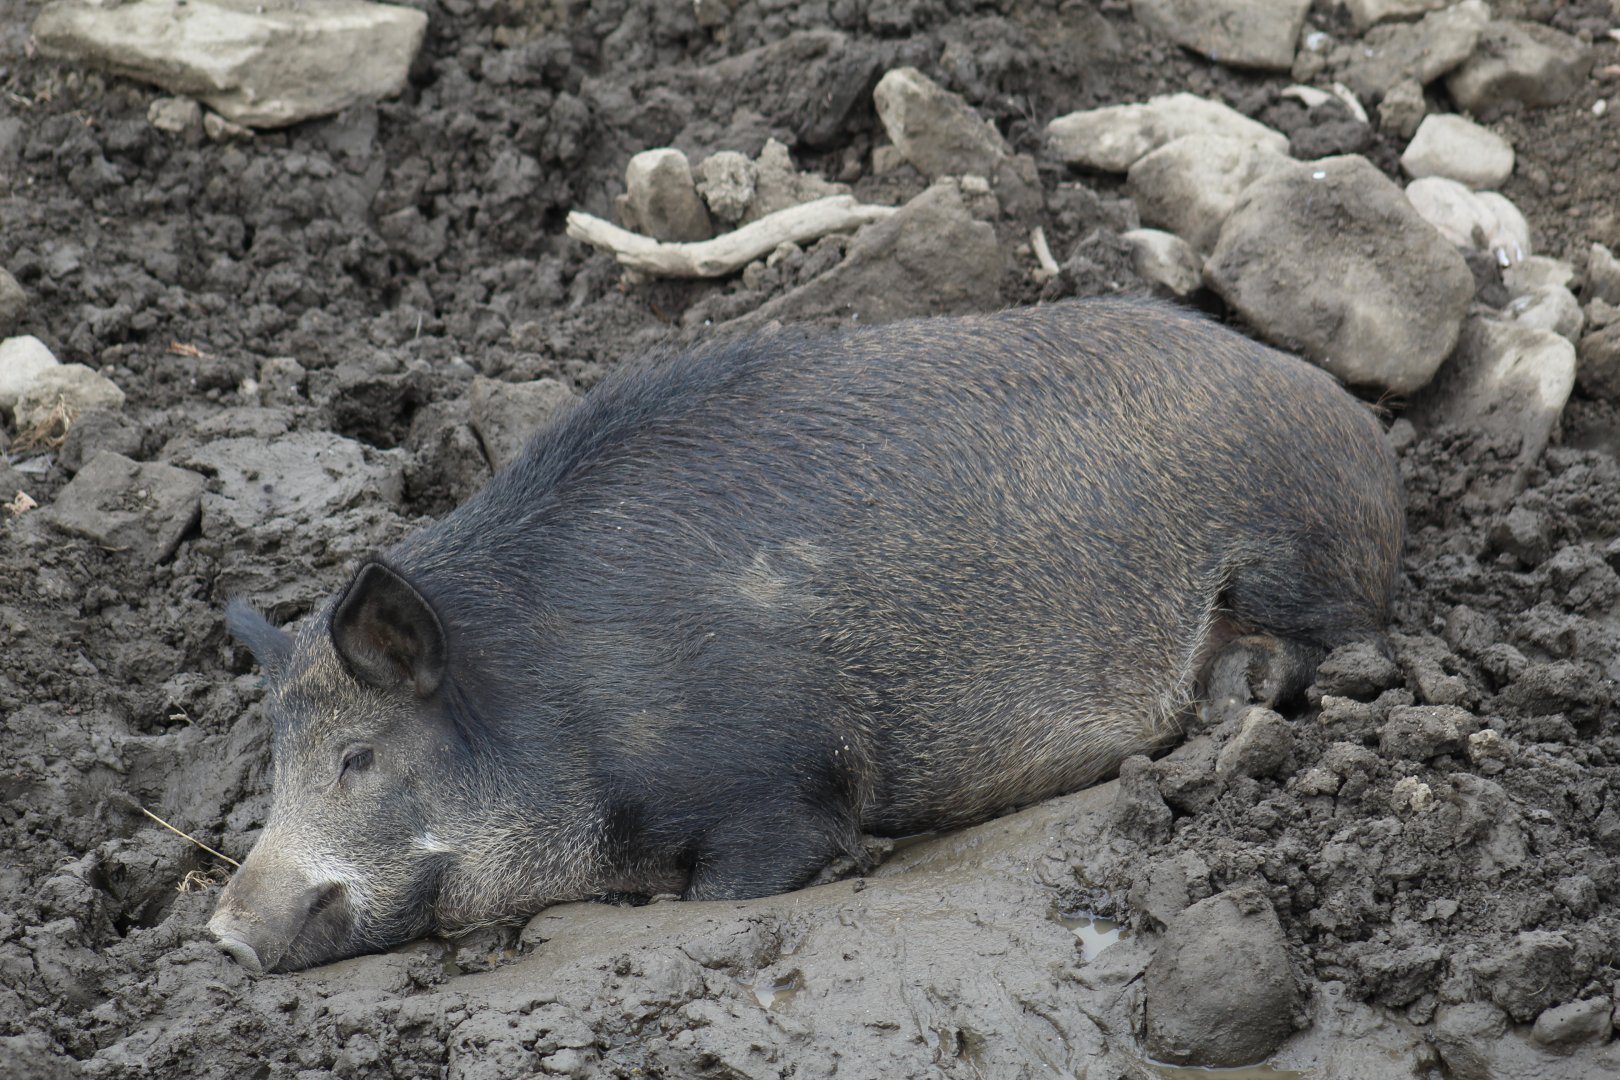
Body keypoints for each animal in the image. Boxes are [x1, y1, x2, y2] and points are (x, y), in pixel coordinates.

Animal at [209, 298, 1402, 973]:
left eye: (359, 757)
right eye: (276, 765)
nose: (221, 932)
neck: (560, 703)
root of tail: (1352, 416)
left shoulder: (779, 782)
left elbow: (736, 884)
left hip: (1297, 555)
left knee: (1342, 644)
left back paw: (1232, 694)